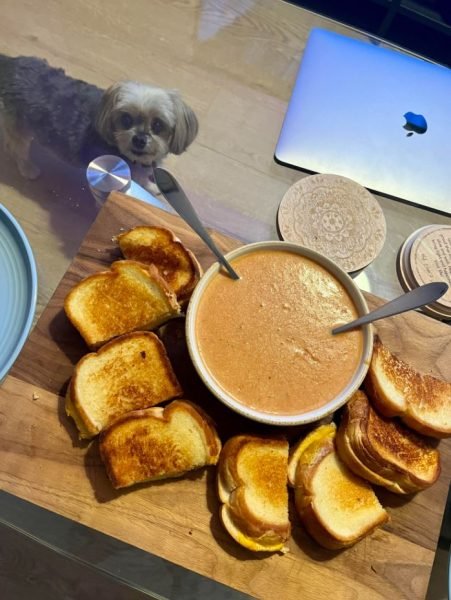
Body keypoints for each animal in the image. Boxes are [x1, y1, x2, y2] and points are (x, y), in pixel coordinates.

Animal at [0, 54, 199, 190]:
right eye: (126, 119)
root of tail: (9, 64)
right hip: (18, 127)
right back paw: (28, 169)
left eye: (158, 124)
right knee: (16, 148)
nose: (139, 139)